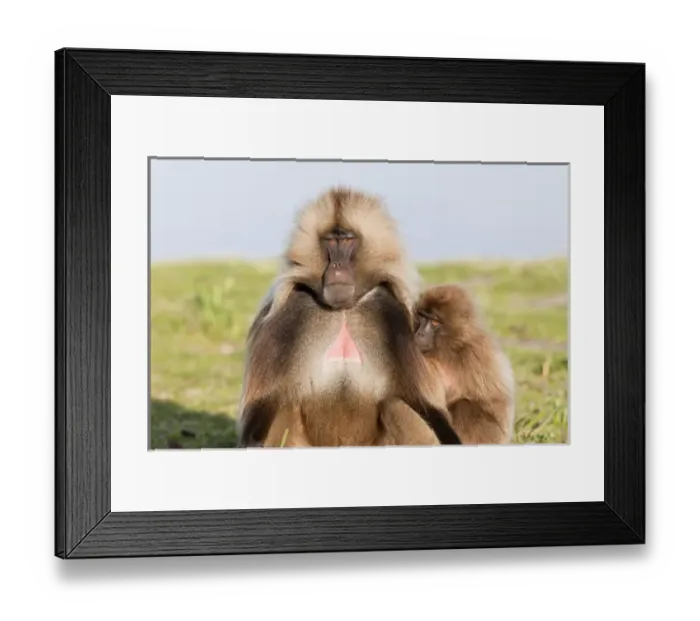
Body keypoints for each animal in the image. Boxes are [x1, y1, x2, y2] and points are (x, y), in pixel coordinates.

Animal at [236, 187, 461, 448]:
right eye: (330, 241)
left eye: (348, 240)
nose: (337, 267)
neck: (343, 309)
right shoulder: (287, 315)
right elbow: (264, 399)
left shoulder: (391, 315)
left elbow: (421, 401)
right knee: (284, 406)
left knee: (396, 405)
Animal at [414, 284, 516, 445]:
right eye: (422, 317)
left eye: (435, 322)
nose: (420, 334)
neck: (451, 347)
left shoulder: (475, 353)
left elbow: (493, 405)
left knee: (465, 406)